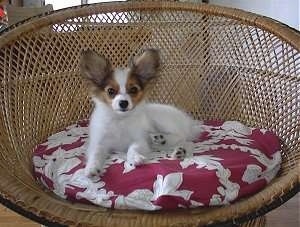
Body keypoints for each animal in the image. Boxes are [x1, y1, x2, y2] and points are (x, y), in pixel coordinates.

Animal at [79, 48, 202, 178]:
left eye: (133, 89)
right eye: (110, 91)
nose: (123, 103)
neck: (120, 120)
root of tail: (189, 122)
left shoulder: (140, 140)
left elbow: (133, 148)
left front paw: (135, 158)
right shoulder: (98, 143)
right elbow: (95, 153)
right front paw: (92, 167)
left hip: (161, 118)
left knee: (183, 137)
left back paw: (164, 140)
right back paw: (173, 146)